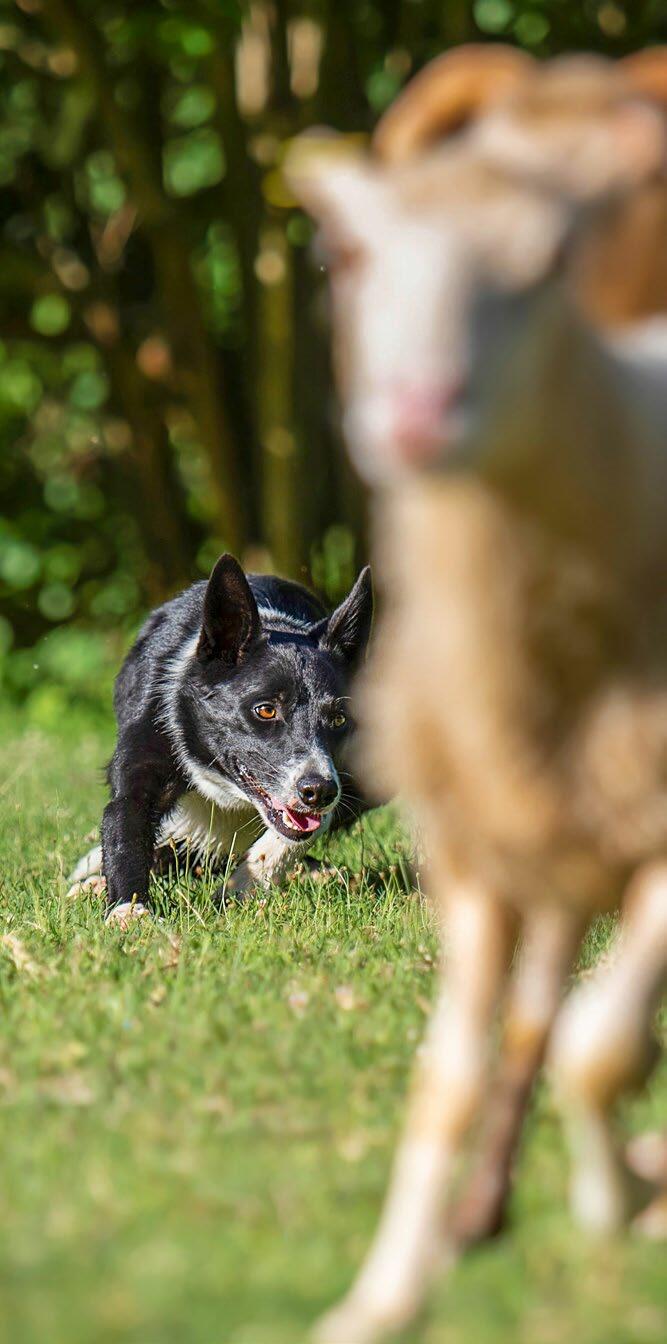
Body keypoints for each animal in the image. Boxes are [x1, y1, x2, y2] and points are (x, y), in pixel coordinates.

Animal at [287, 46, 667, 1343]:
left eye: (547, 255)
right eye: (343, 259)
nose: (416, 411)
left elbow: (595, 1044)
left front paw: (617, 1199)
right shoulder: (486, 825)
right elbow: (465, 1064)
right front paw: (388, 1290)